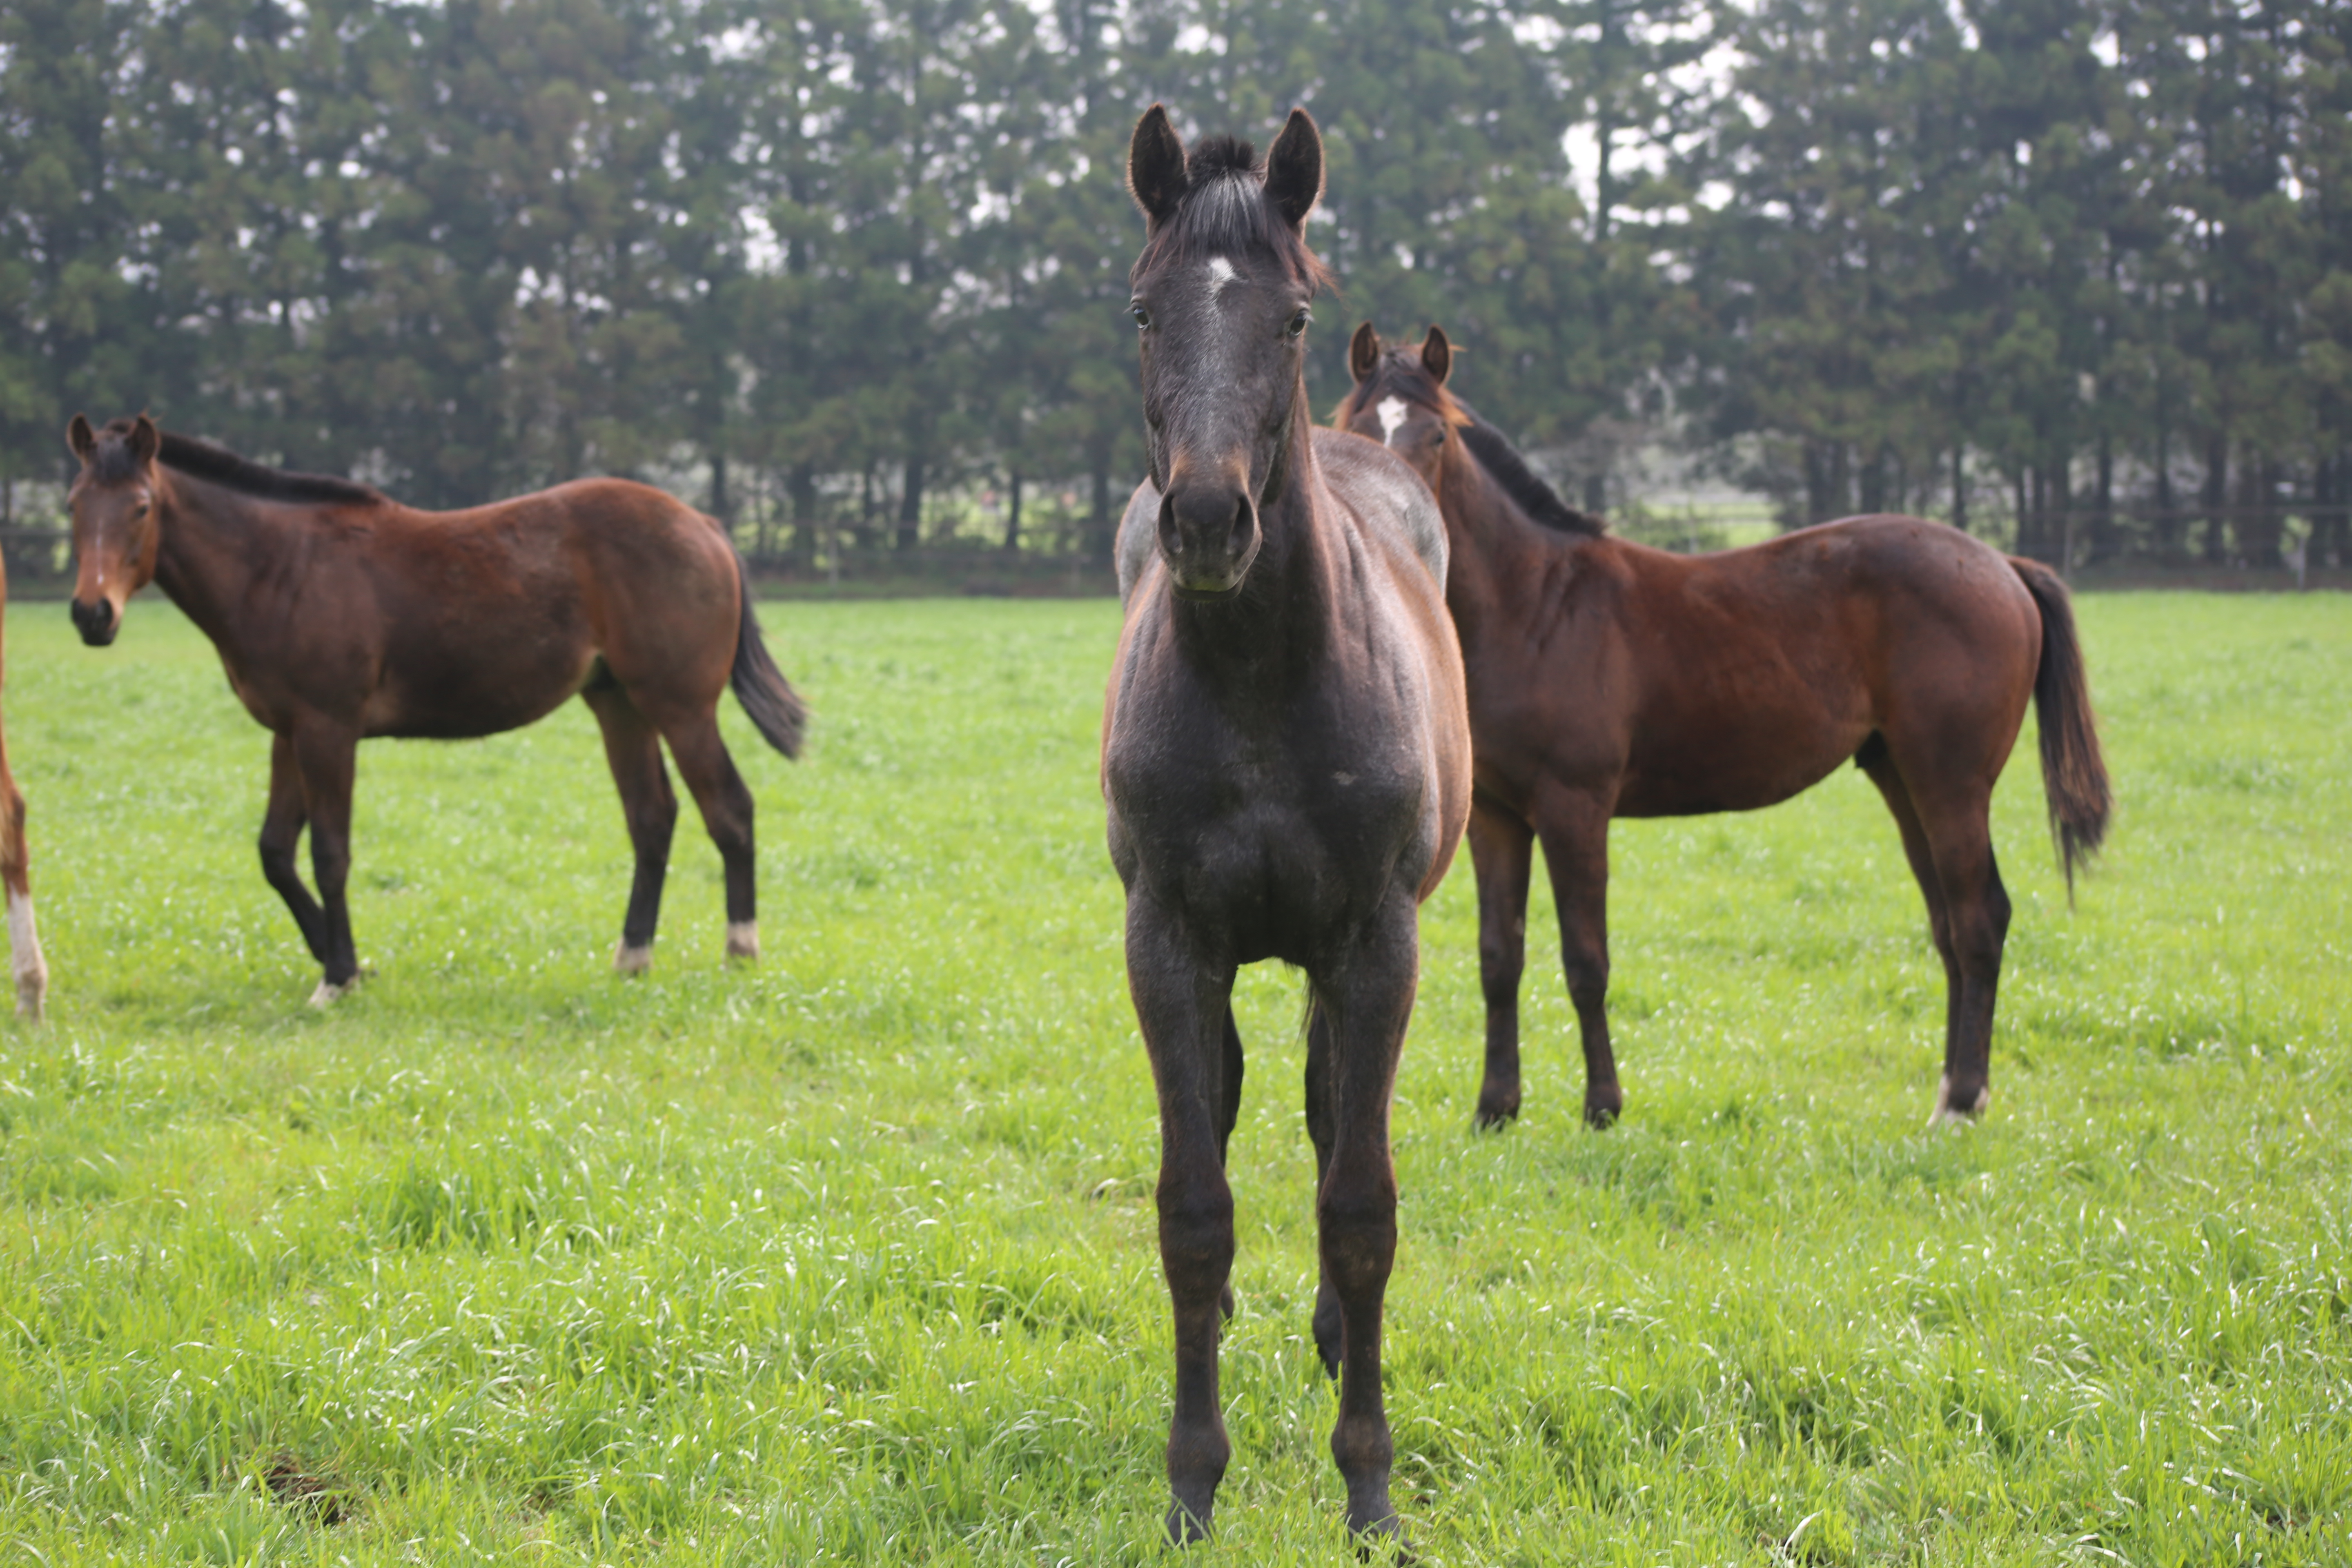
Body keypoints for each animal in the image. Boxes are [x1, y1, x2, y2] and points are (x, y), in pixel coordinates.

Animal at [64, 414, 809, 1006]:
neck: (281, 567)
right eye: (73, 505)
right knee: (652, 819)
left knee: (729, 809)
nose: (91, 615)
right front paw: (345, 960)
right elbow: (275, 852)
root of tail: (703, 523)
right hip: (618, 704)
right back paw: (633, 958)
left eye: (140, 506)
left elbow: (330, 854)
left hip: (682, 707)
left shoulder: (329, 732)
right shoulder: (289, 733)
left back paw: (741, 951)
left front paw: (337, 976)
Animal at [1105, 107, 1468, 1542]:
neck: (1264, 676)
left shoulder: (1376, 946)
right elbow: (1192, 1206)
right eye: (1142, 310)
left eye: (1294, 316)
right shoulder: (1168, 942)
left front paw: (1367, 1483)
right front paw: (1191, 1481)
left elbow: (1359, 1206)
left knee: (1322, 1119)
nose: (1210, 521)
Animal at [1336, 329, 2126, 1128]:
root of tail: (2004, 564)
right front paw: (1496, 1110)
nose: (1397, 518)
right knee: (1949, 926)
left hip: (1952, 783)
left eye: (1436, 435)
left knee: (1979, 918)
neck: (1537, 607)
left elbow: (1586, 961)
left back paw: (1964, 1101)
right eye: (1356, 426)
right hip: (1902, 778)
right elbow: (1499, 959)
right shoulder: (1498, 820)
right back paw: (1947, 1096)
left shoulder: (1574, 809)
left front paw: (1603, 1107)